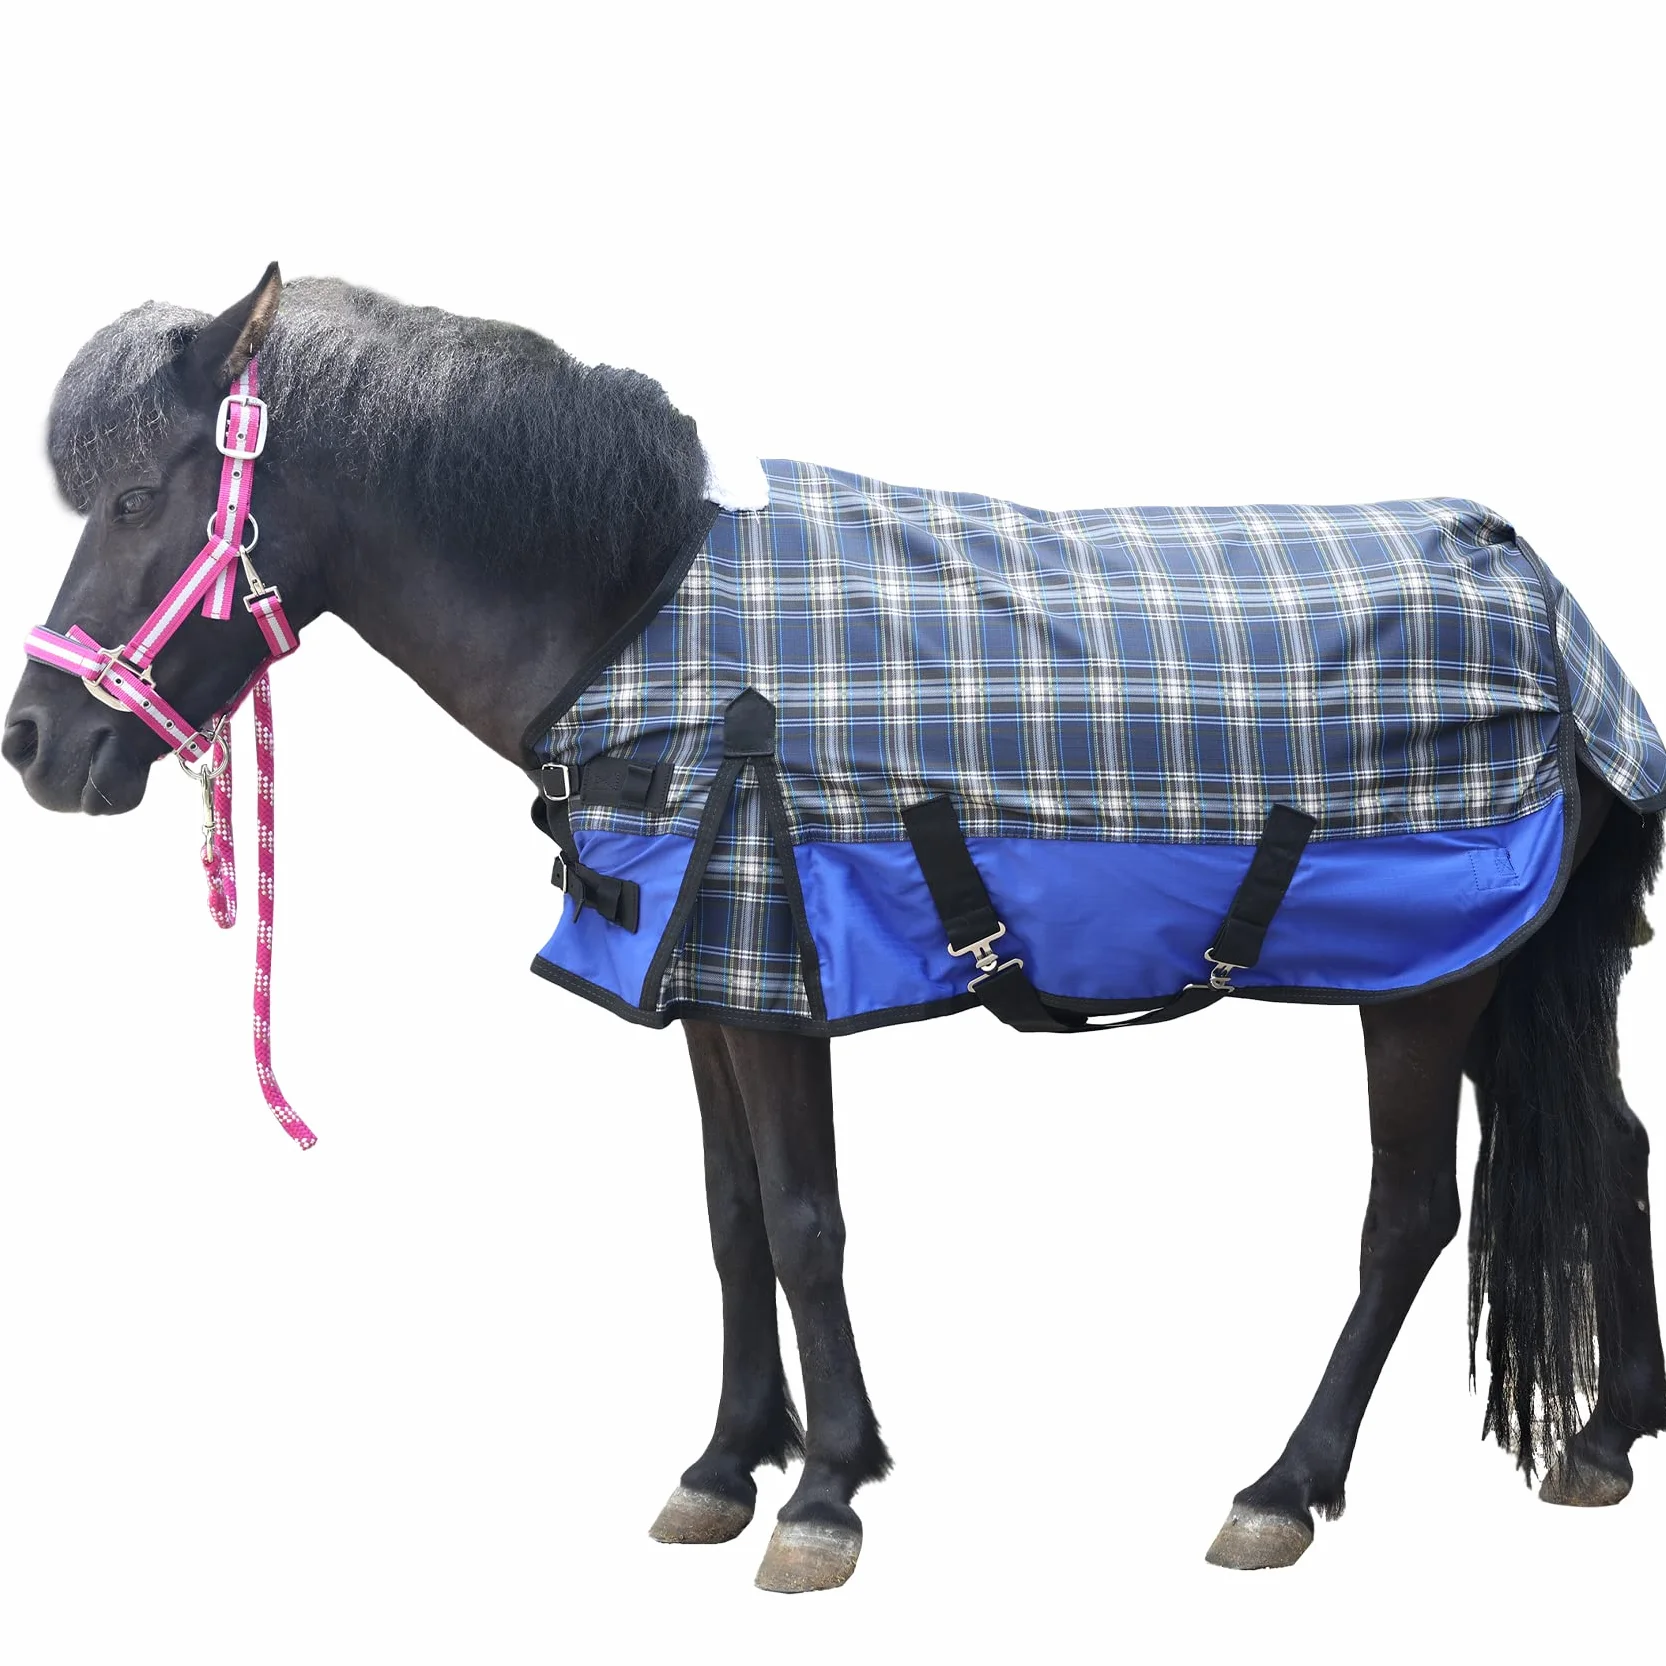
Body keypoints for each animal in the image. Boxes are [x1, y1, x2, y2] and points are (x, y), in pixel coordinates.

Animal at [8, 265, 1663, 1594]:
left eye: (140, 500)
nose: (34, 743)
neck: (633, 615)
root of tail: (1540, 593)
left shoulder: (774, 971)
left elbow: (806, 1224)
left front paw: (823, 1493)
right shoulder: (700, 981)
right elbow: (731, 1218)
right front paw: (723, 1463)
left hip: (1425, 986)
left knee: (1407, 1216)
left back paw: (1284, 1484)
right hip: (1509, 971)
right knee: (1610, 1147)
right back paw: (1604, 1433)